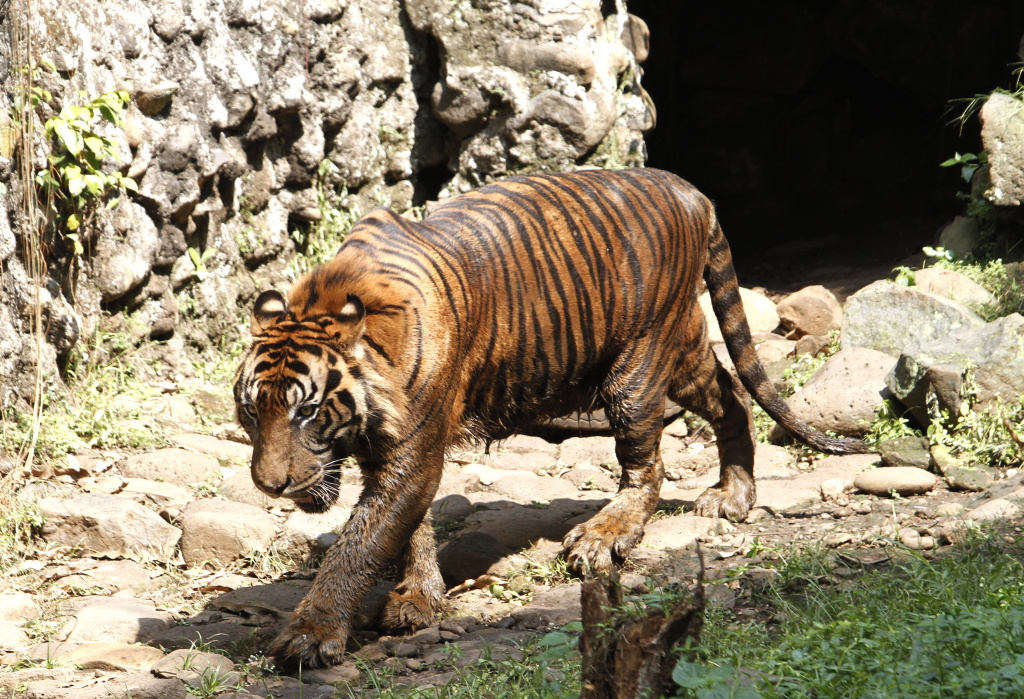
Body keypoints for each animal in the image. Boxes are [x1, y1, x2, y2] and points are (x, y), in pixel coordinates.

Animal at [234, 165, 864, 667]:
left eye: (307, 411)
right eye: (250, 412)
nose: (269, 485)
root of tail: (688, 189)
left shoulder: (413, 447)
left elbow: (362, 543)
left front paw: (310, 635)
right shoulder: (389, 452)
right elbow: (408, 530)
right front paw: (418, 600)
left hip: (637, 364)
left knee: (649, 465)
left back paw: (604, 536)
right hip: (682, 349)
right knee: (731, 392)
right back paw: (734, 494)